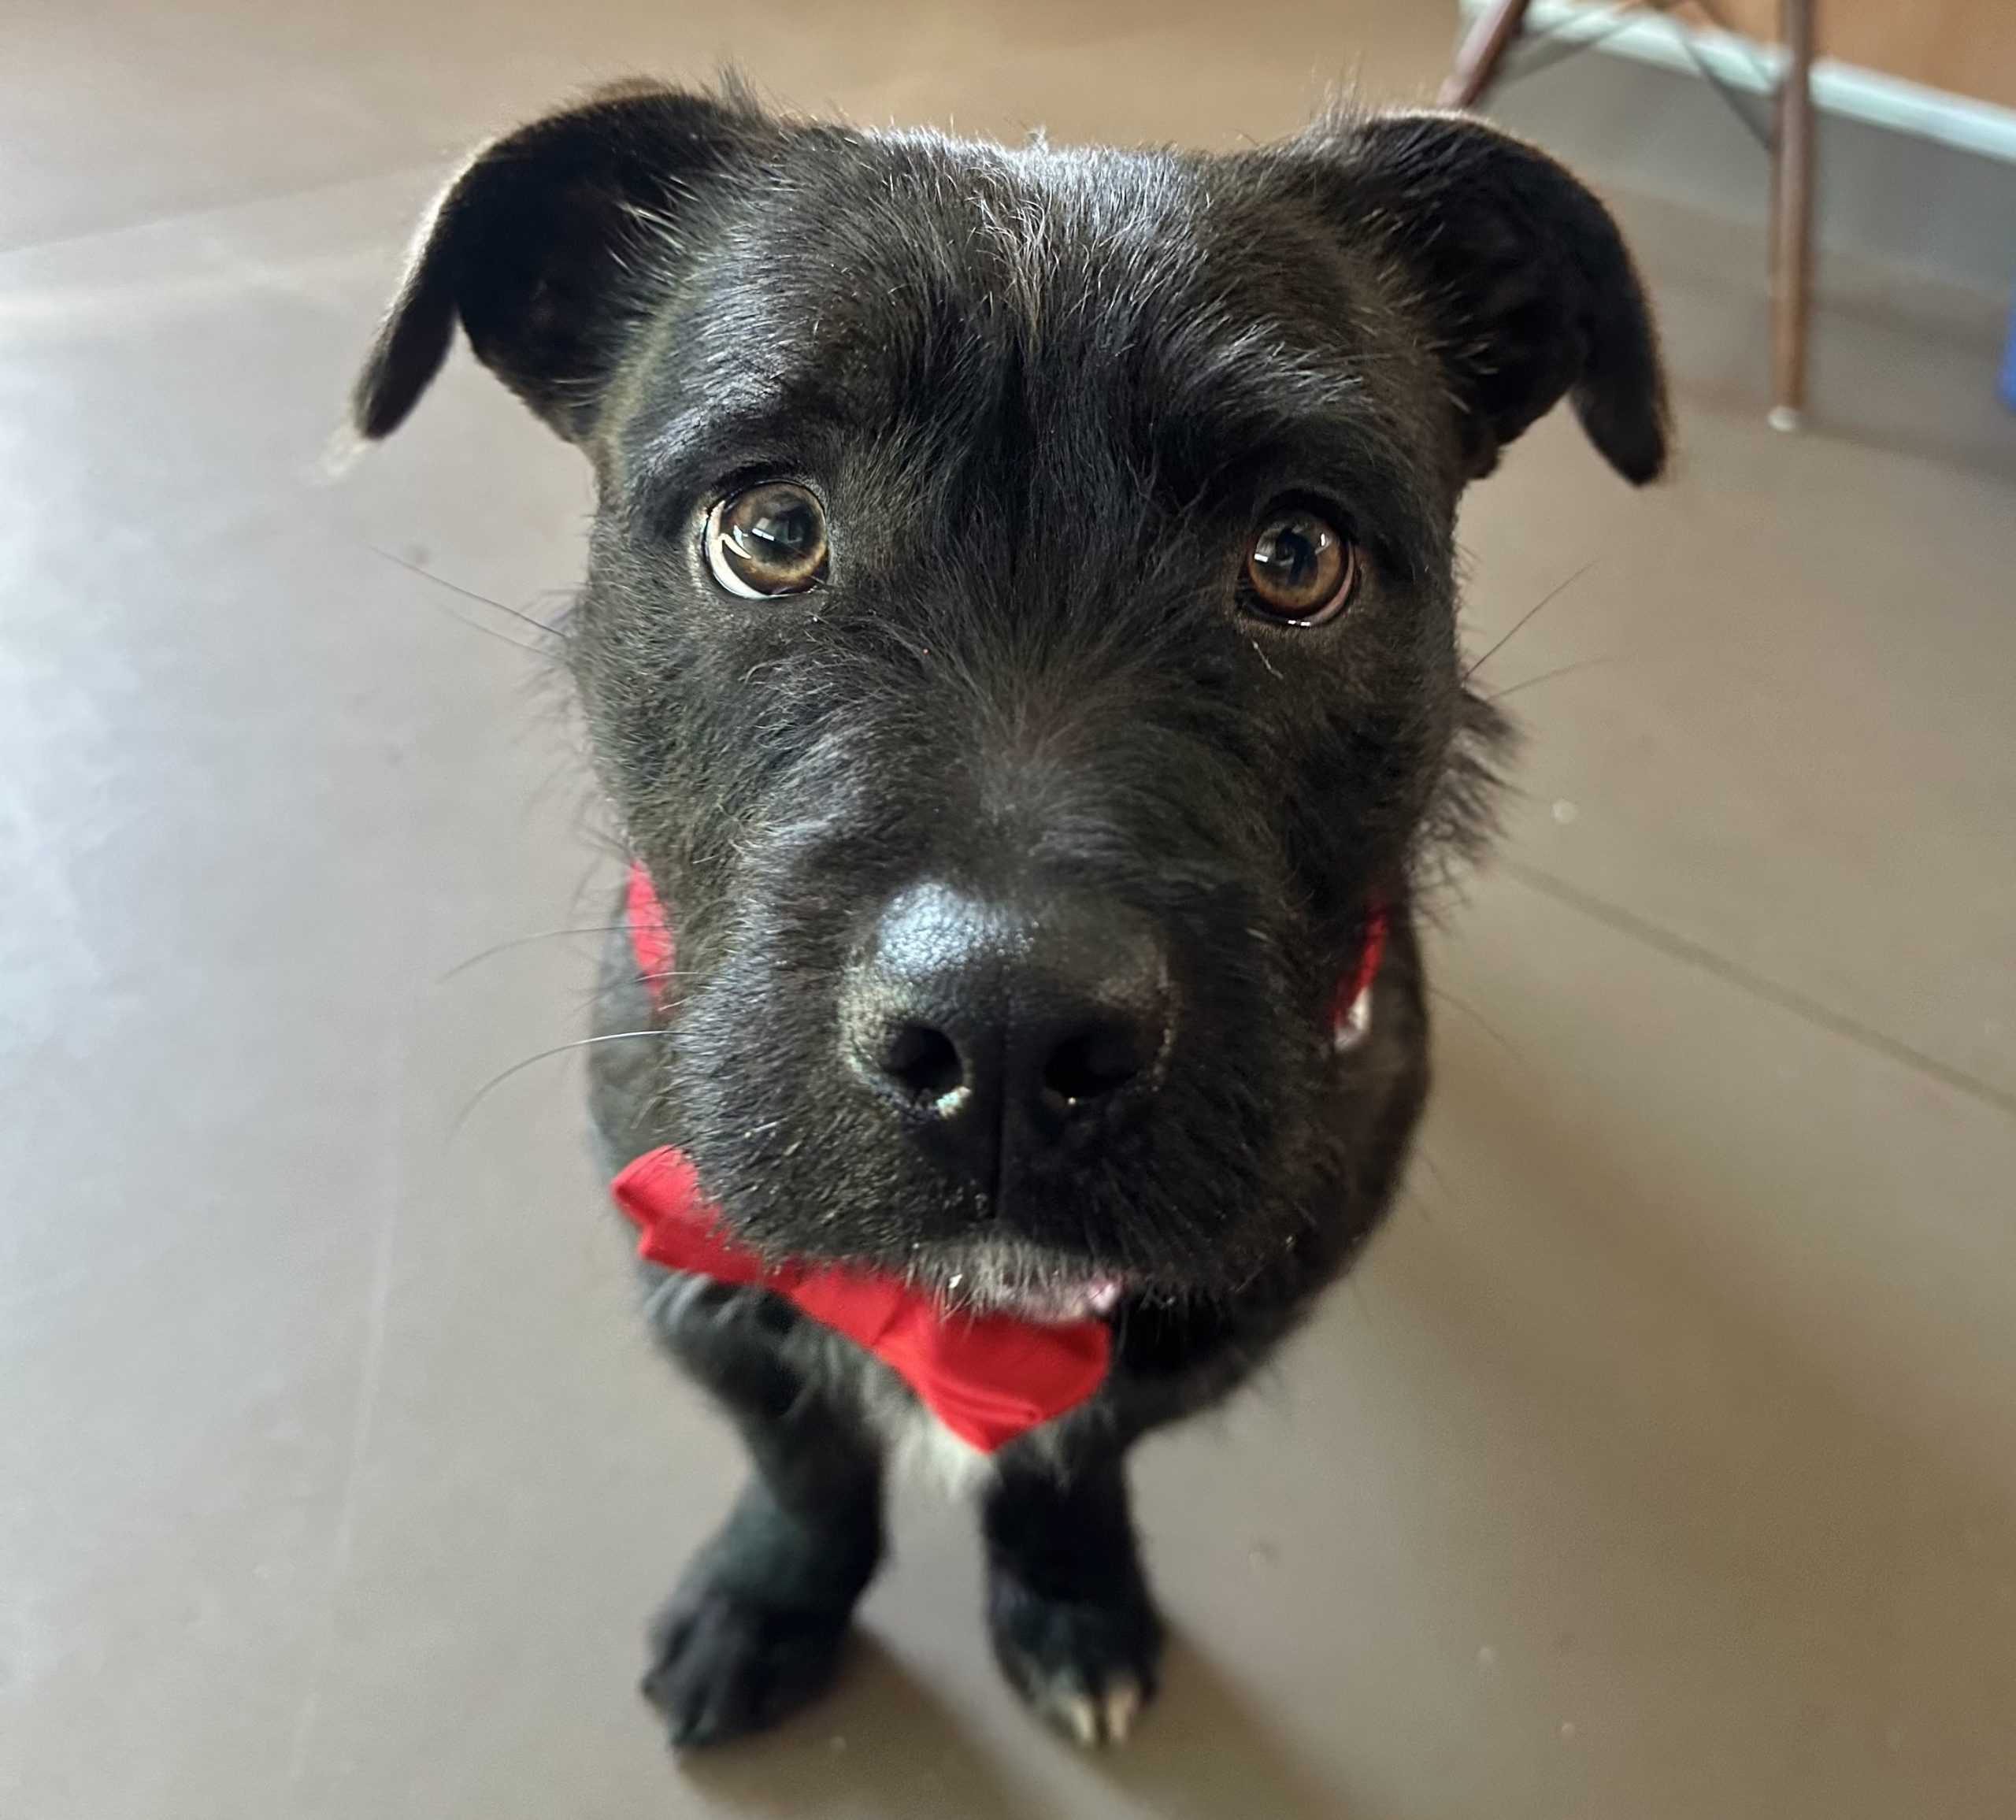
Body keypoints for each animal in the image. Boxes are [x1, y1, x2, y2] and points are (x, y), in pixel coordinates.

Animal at [351, 78, 1666, 1751]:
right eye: (768, 529)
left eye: (1296, 555)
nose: (1006, 1030)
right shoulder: (702, 1287)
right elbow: (806, 1460)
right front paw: (770, 1598)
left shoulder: (1205, 1331)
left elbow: (1071, 1456)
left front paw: (1071, 1599)